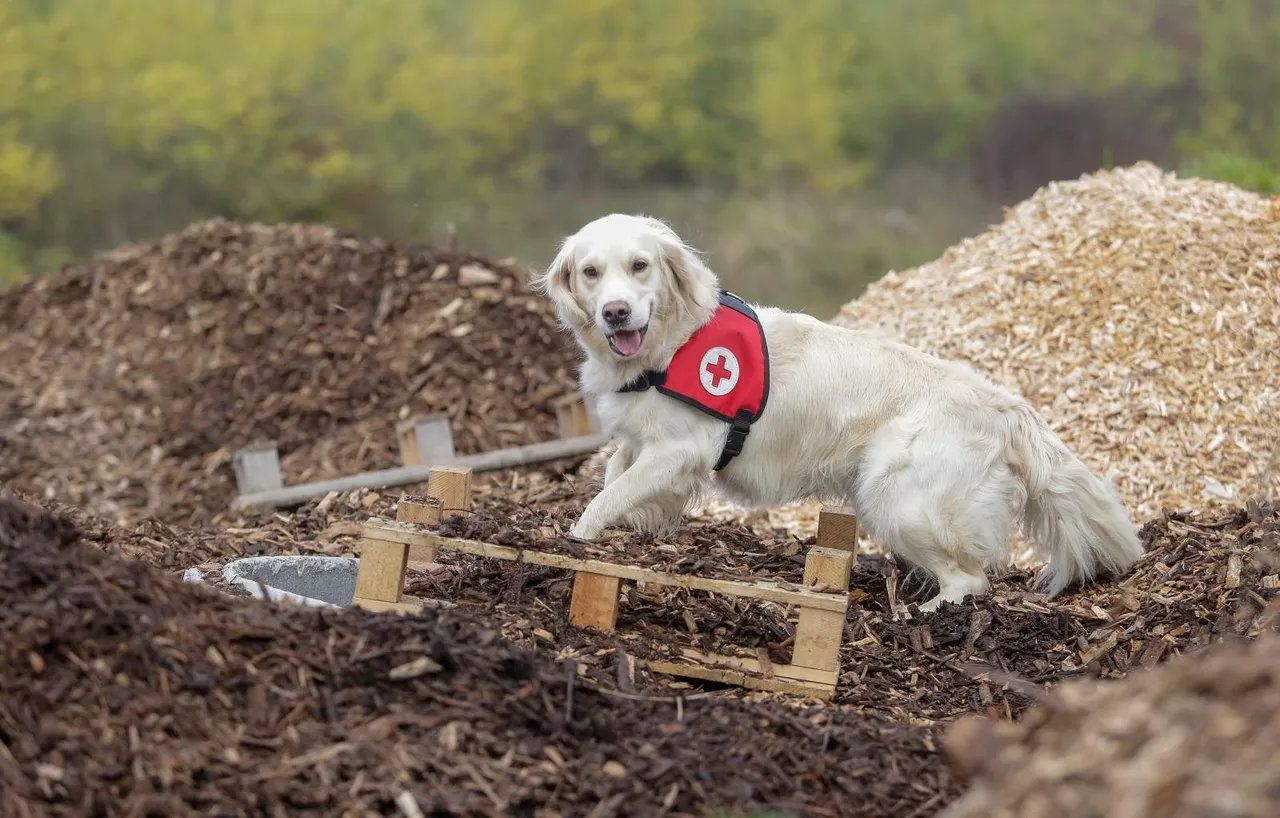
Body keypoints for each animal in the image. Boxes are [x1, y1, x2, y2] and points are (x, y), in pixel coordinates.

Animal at [529, 215, 1141, 611]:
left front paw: (577, 540)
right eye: (590, 272)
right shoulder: (640, 442)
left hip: (895, 496)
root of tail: (1001, 403)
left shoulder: (679, 450)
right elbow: (615, 478)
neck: (671, 345)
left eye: (639, 265)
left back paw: (919, 614)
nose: (615, 312)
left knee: (971, 581)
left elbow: (604, 498)